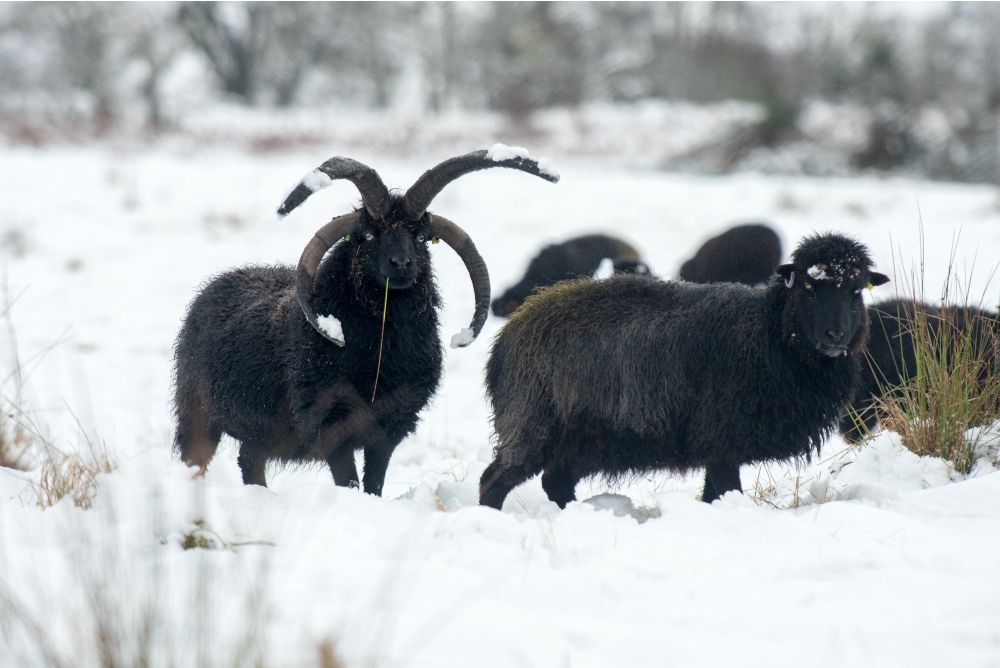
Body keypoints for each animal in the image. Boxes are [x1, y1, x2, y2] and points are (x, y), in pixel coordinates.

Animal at [175, 149, 560, 494]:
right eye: (370, 235)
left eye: (421, 237)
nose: (401, 264)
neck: (378, 351)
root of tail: (221, 281)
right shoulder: (332, 427)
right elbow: (348, 482)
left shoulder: (388, 429)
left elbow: (374, 482)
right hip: (196, 413)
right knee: (198, 461)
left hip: (261, 433)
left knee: (249, 460)